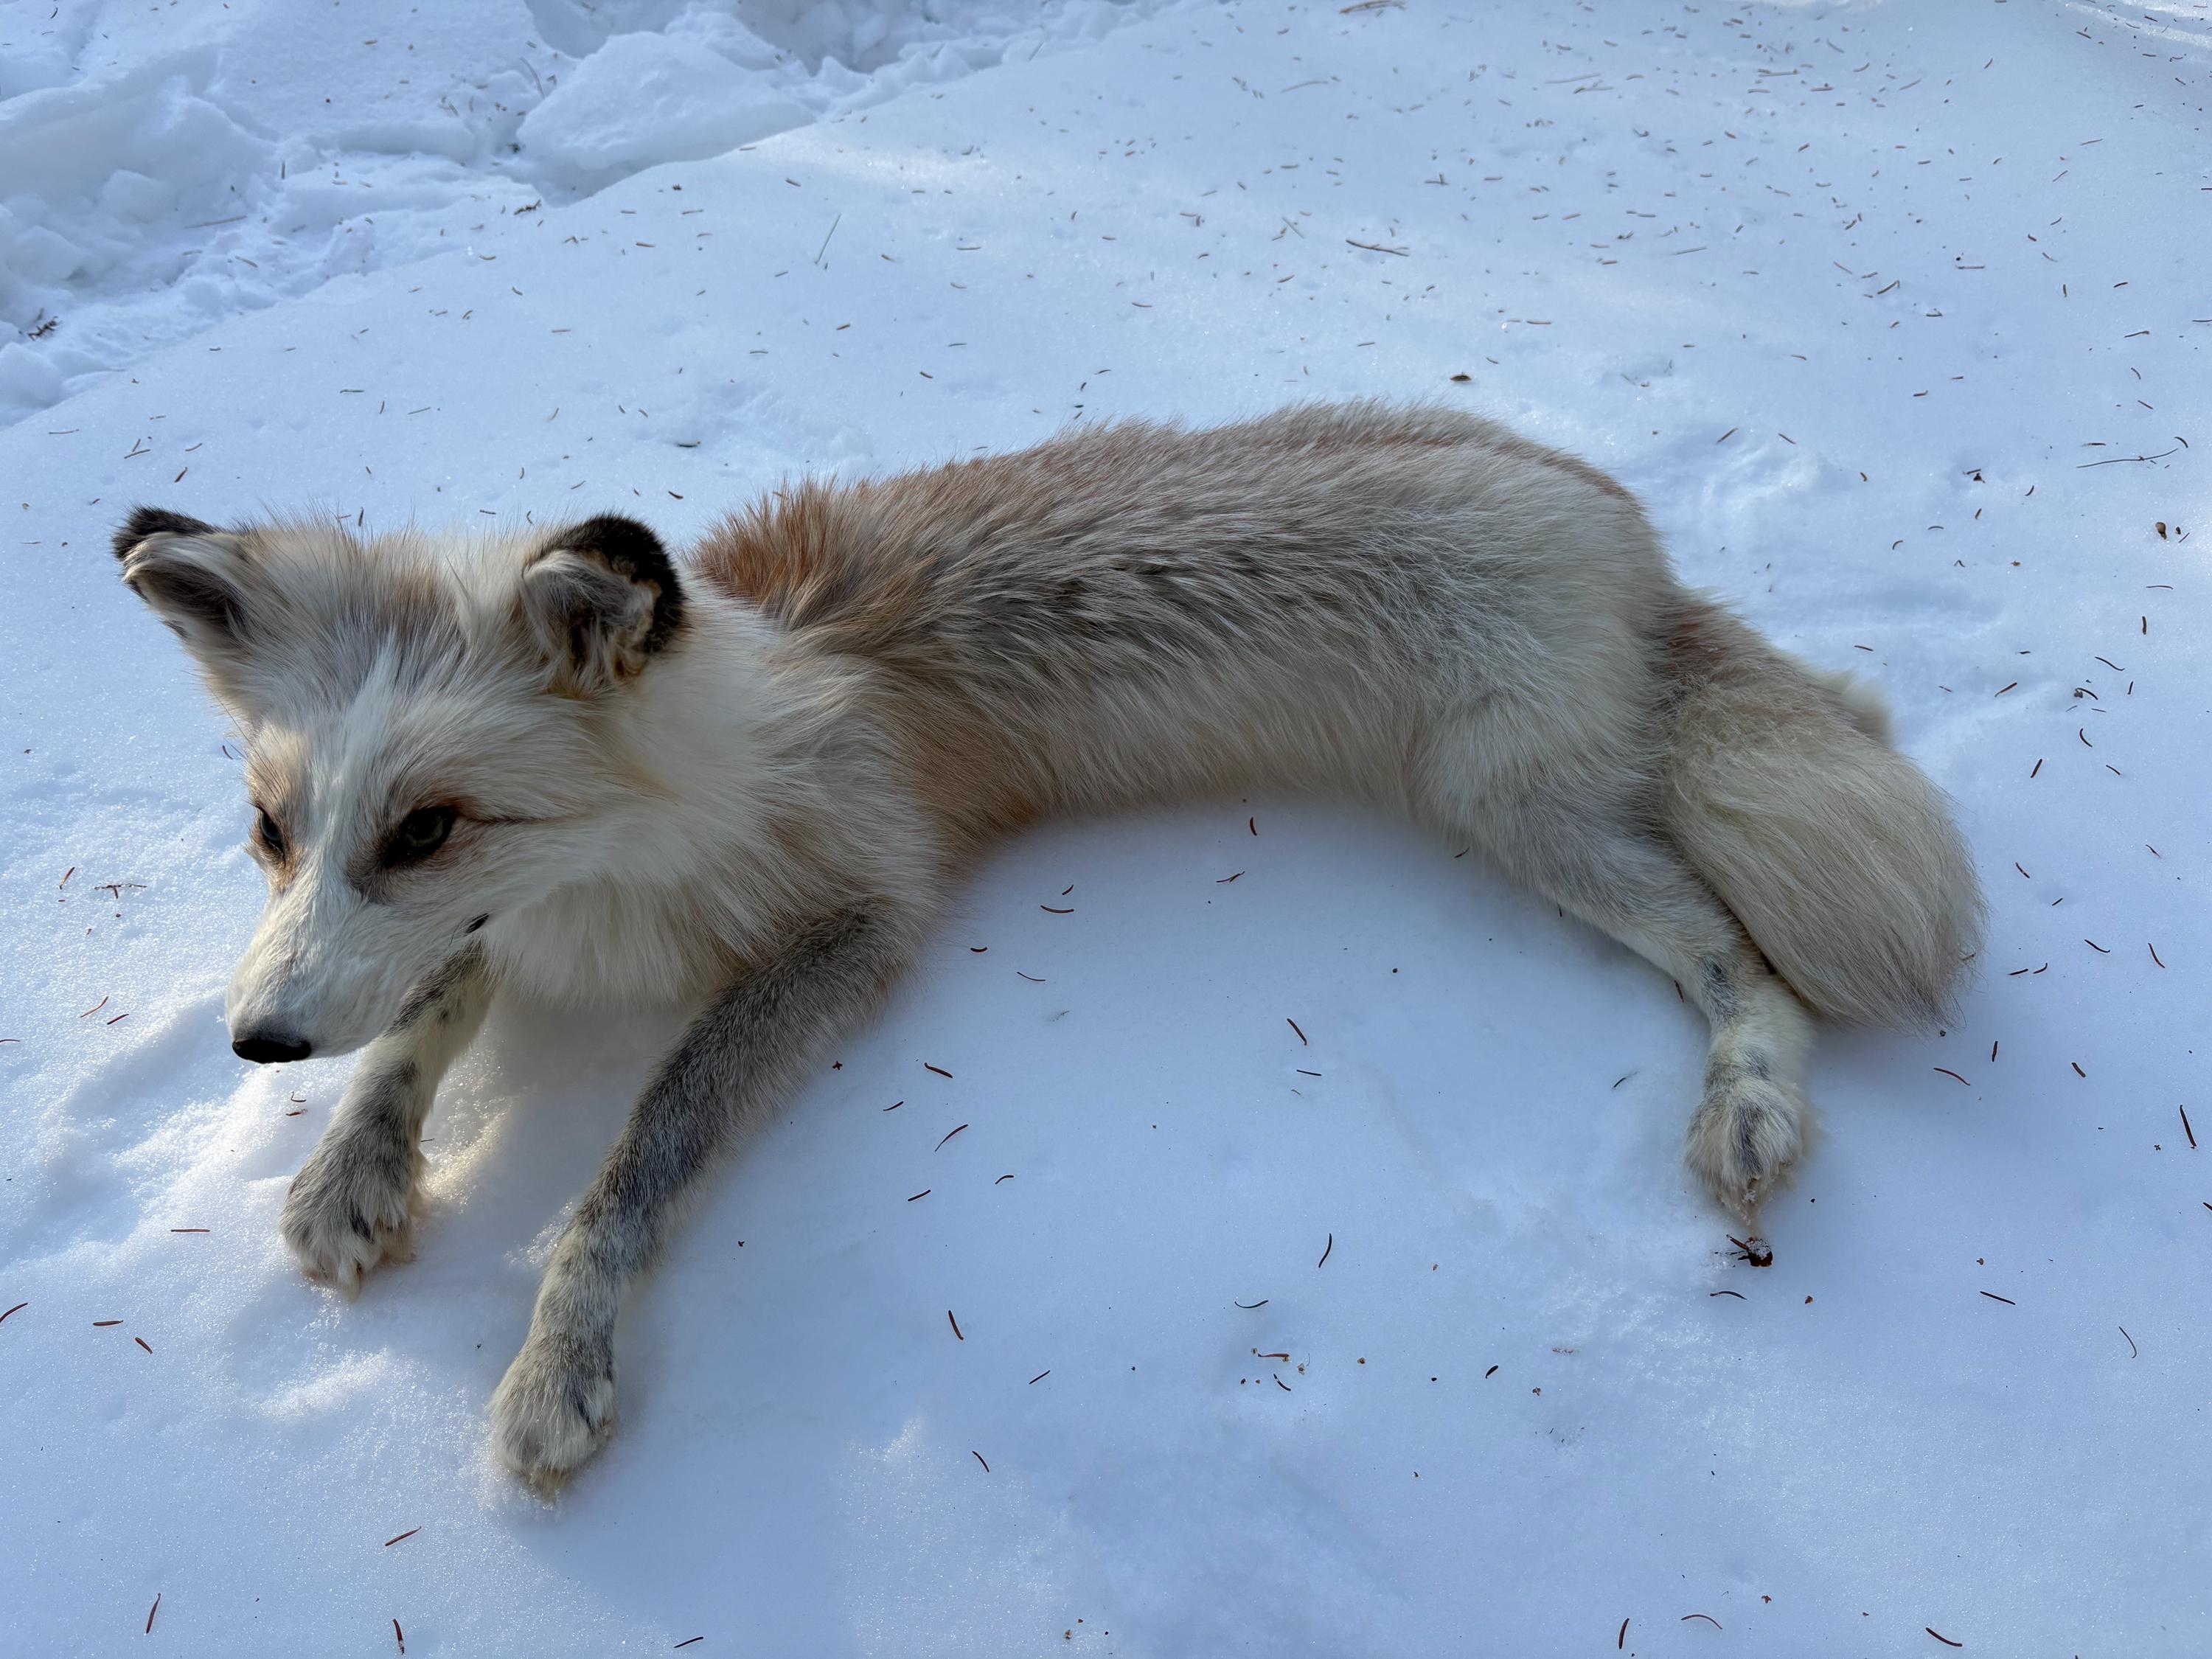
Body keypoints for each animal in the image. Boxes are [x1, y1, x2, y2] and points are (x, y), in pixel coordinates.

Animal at [112, 401, 1982, 1489]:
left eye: (425, 826)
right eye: (273, 832)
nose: (253, 1044)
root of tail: (1609, 512)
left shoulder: (856, 917)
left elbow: (631, 1168)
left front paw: (558, 1359)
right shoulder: (528, 922)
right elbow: (419, 1014)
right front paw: (354, 1168)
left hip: (1523, 819)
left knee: (1740, 948)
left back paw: (1751, 1102)